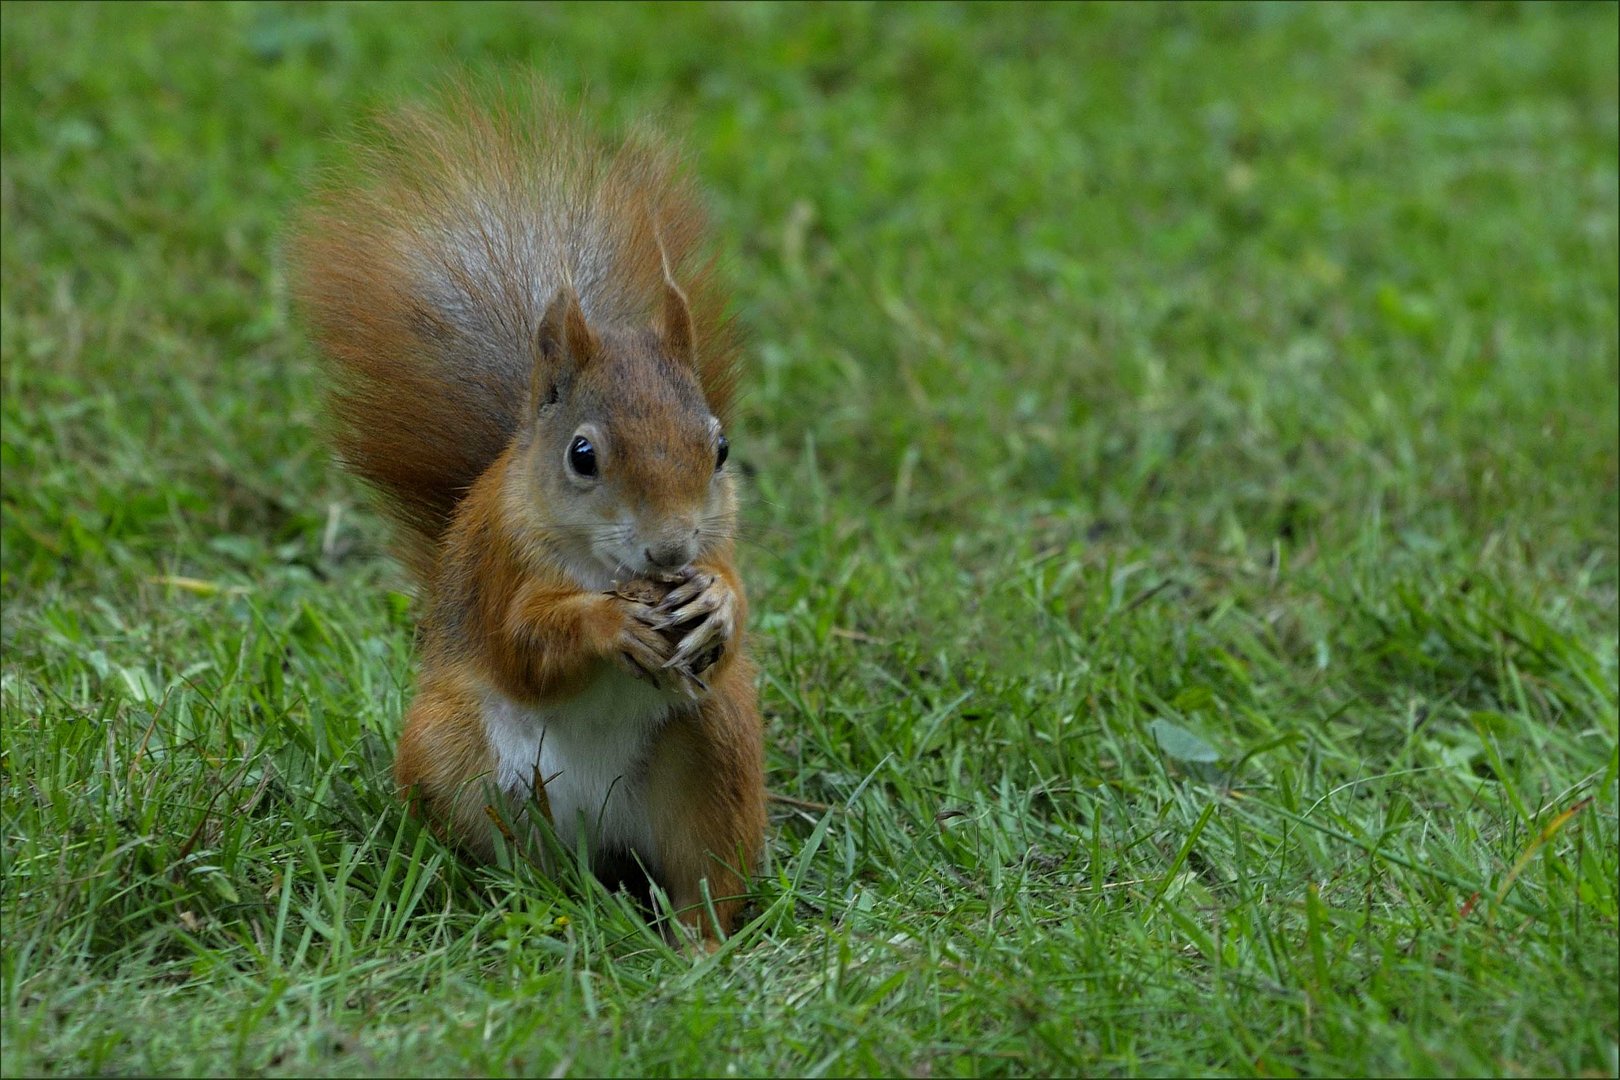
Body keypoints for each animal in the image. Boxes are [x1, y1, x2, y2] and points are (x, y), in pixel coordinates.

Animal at [289, 86, 764, 939]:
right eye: (582, 456)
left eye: (720, 448)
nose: (671, 551)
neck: (604, 563)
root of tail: (601, 836)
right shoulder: (498, 563)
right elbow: (522, 646)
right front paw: (607, 624)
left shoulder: (721, 541)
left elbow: (734, 606)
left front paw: (714, 602)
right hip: (455, 758)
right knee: (519, 868)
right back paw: (538, 912)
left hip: (716, 748)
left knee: (704, 873)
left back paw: (698, 942)